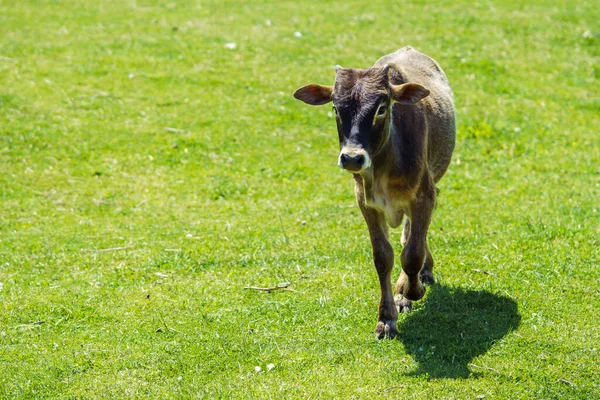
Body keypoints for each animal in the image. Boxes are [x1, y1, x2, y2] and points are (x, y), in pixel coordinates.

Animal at [292, 47, 454, 340]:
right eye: (335, 108)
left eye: (381, 108)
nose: (352, 158)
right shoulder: (366, 203)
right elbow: (383, 256)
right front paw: (386, 318)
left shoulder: (424, 196)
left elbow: (412, 253)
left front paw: (411, 290)